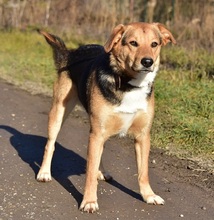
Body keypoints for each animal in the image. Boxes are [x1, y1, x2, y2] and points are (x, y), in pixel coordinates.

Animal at [36, 22, 176, 213]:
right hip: (59, 112)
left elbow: (143, 172)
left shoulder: (143, 136)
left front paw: (149, 195)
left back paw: (101, 172)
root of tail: (70, 53)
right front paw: (89, 201)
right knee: (50, 145)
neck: (129, 84)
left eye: (154, 44)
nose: (148, 62)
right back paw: (44, 172)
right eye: (133, 43)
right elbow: (89, 174)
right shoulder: (96, 133)